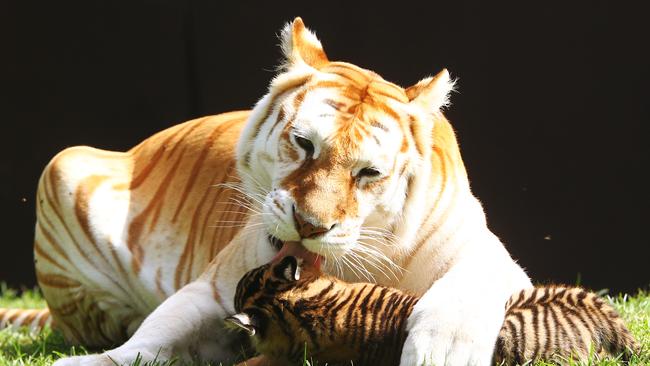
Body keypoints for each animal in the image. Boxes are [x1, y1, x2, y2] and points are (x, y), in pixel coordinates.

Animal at [12, 17, 536, 366]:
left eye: (368, 173)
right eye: (304, 144)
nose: (309, 225)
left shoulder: (491, 257)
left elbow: (467, 286)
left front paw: (442, 351)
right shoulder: (213, 288)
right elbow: (155, 333)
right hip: (64, 165)